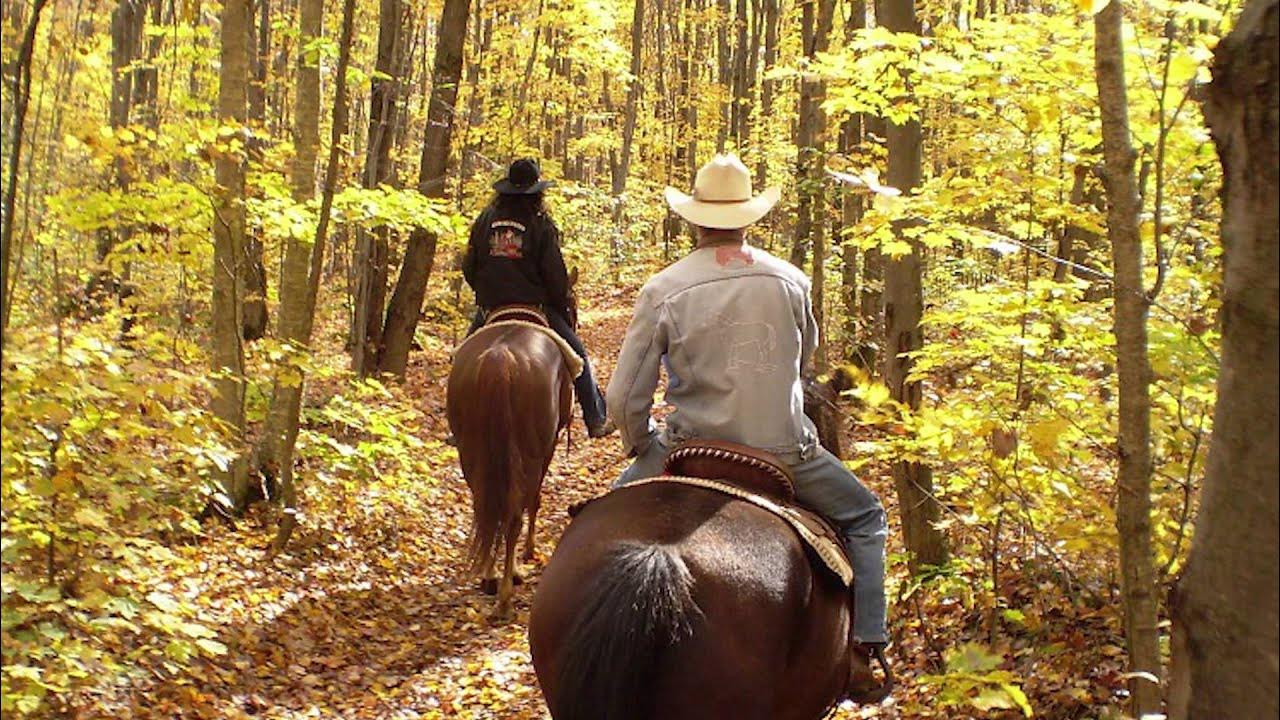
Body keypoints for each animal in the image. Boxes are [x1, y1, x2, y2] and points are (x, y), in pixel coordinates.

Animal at [448, 311, 573, 620]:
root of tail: (499, 357)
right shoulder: (548, 447)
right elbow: (534, 501)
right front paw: (529, 552)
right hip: (530, 455)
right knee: (514, 516)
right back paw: (506, 594)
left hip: (472, 454)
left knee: (487, 511)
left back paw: (490, 578)